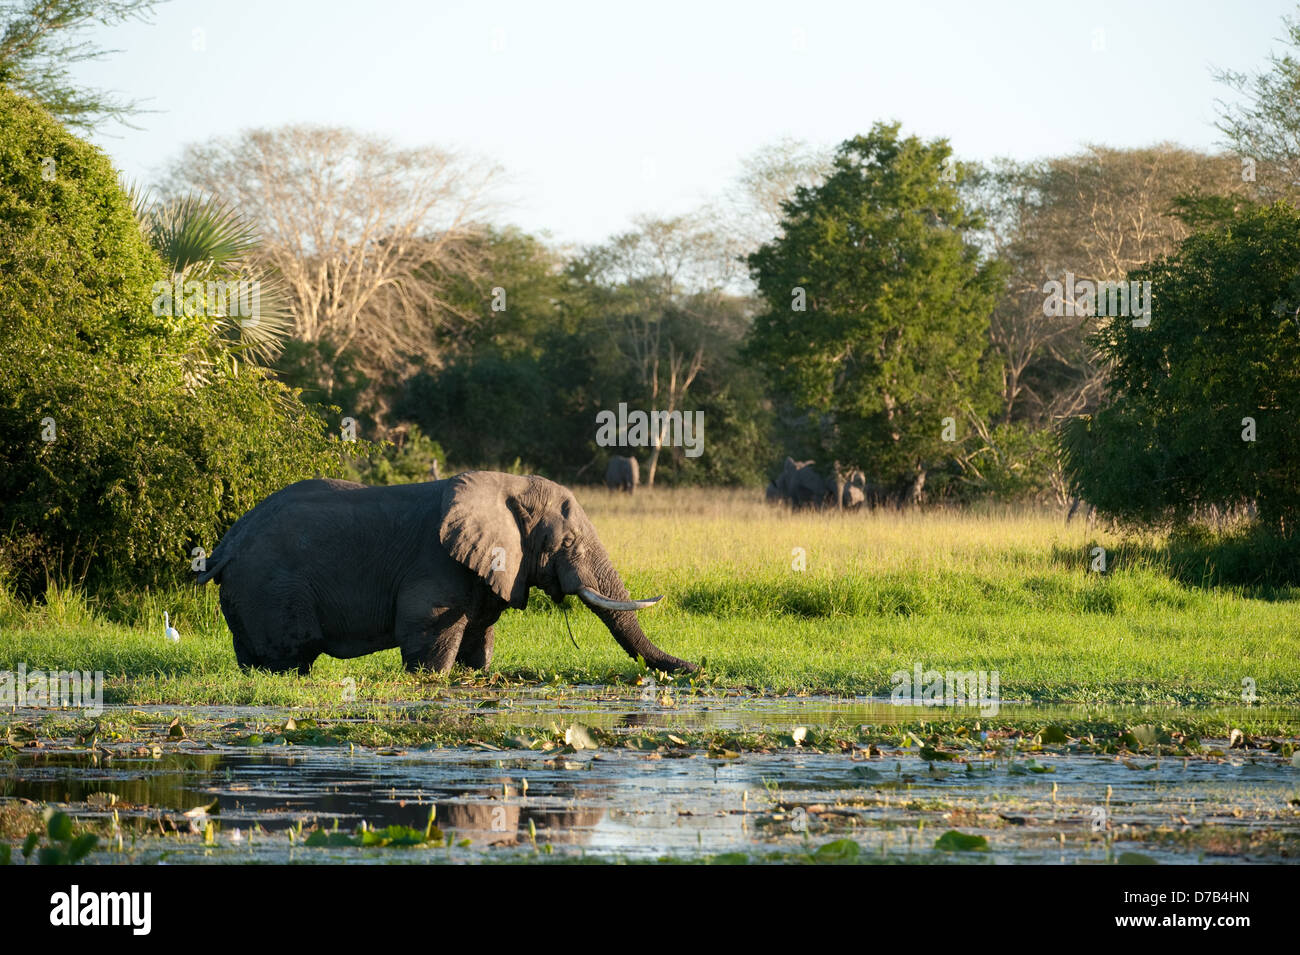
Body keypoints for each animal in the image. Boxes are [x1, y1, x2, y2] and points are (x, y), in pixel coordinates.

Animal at [193, 470, 696, 670]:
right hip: (271, 589)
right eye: (567, 543)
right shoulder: (434, 566)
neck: (506, 485)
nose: (697, 666)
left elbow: (479, 640)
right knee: (288, 660)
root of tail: (224, 547)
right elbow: (428, 640)